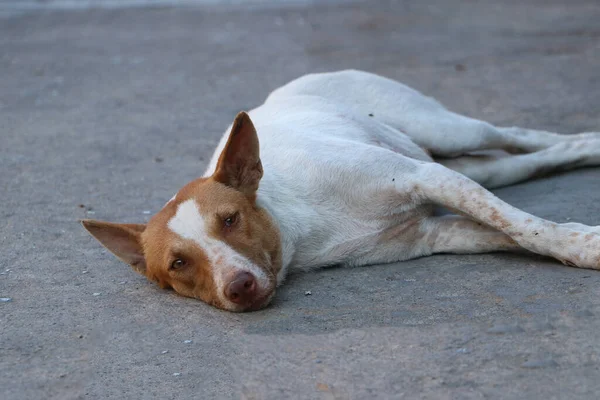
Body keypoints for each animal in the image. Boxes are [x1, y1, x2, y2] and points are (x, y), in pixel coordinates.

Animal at [81, 70, 600, 310]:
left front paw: (581, 247)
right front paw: (578, 241)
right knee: (527, 160)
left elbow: (526, 228)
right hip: (473, 166)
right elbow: (508, 234)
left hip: (447, 133)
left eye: (230, 219)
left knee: (525, 136)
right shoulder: (433, 233)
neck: (300, 228)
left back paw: (587, 141)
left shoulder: (427, 178)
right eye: (178, 264)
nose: (240, 287)